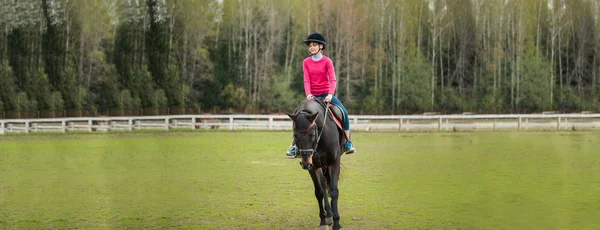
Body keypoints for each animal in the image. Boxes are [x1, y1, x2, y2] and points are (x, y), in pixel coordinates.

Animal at [288, 98, 344, 230]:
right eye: (295, 135)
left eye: (312, 134)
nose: (305, 163)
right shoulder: (313, 166)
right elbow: (319, 192)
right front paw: (323, 222)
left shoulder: (334, 162)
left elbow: (334, 191)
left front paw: (337, 223)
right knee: (323, 184)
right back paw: (328, 215)